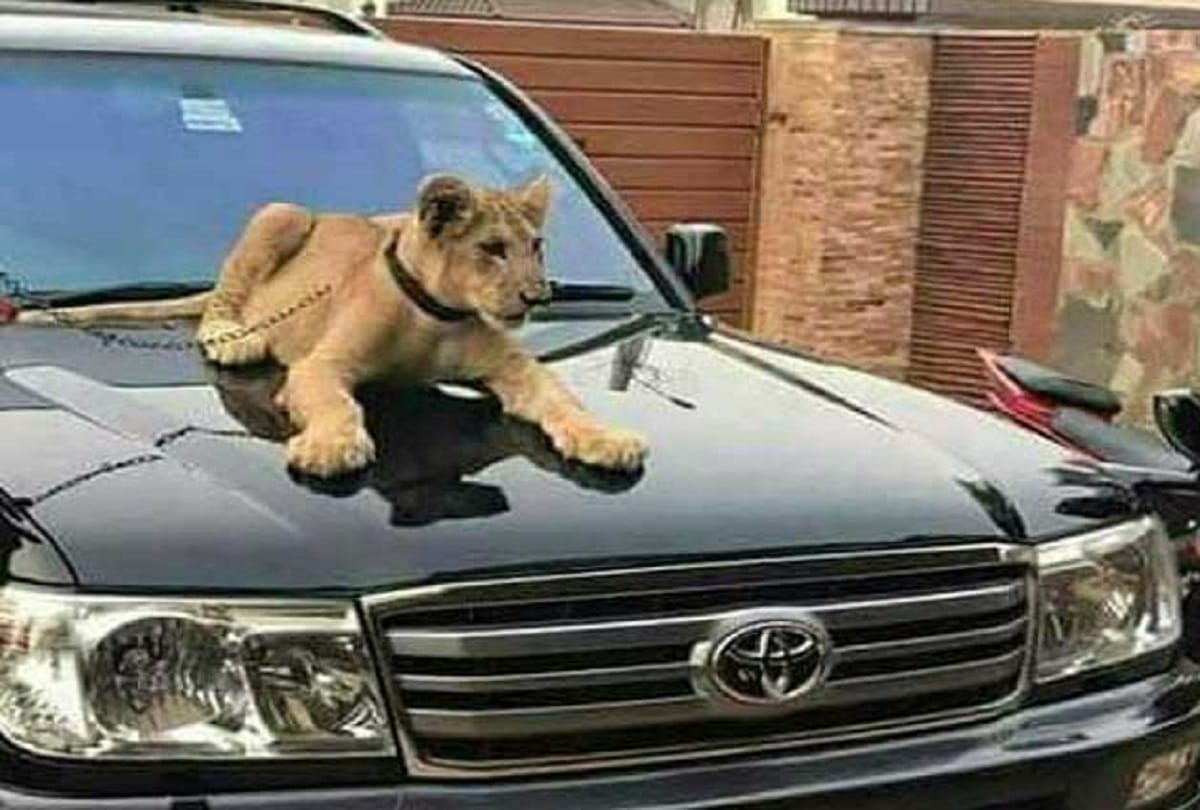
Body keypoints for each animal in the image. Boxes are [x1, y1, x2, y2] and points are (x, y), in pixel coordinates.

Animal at [17, 174, 649, 478]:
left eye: (536, 247)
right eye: (492, 249)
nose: (537, 295)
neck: (438, 316)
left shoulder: (516, 371)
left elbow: (561, 401)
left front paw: (605, 439)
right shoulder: (322, 365)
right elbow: (336, 404)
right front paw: (332, 446)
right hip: (279, 214)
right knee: (222, 301)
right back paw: (237, 339)